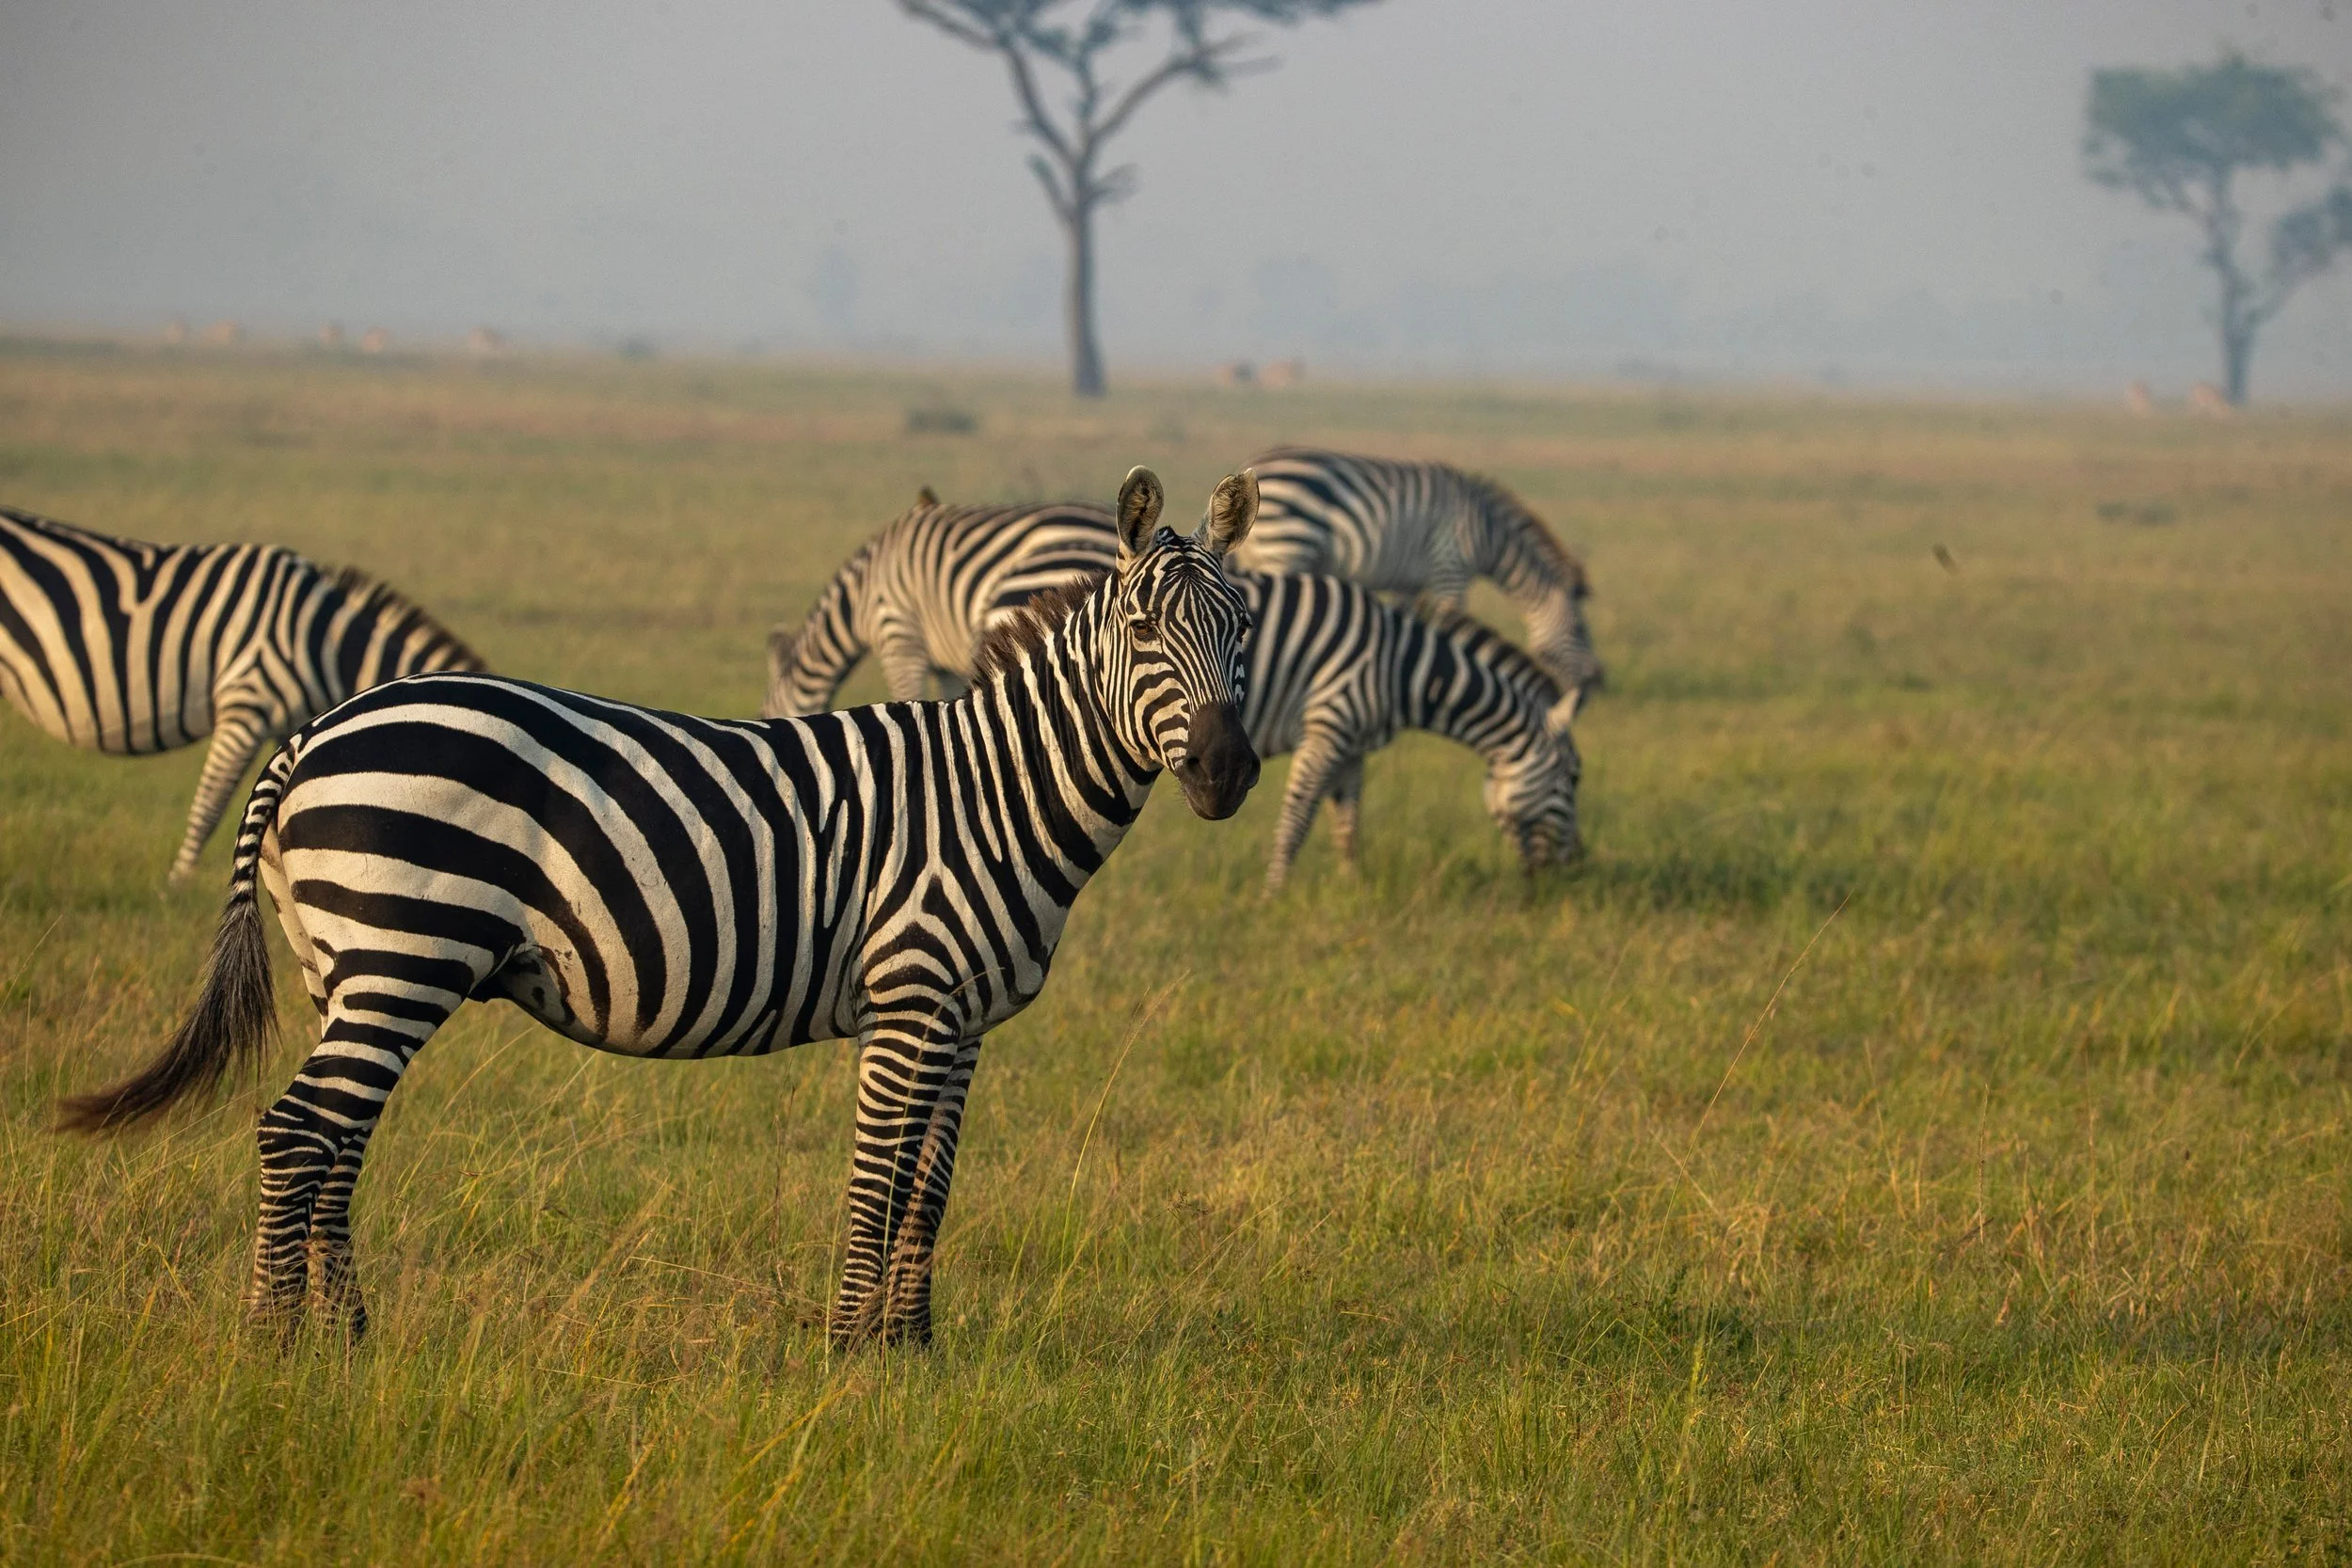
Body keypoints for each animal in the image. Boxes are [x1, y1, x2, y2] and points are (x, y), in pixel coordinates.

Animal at [59, 468, 1261, 1353]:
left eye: (1243, 628)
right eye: (1144, 628)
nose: (1226, 771)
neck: (993, 792)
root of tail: (314, 733)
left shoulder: (962, 1020)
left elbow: (930, 1184)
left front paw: (915, 1349)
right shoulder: (909, 996)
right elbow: (876, 1178)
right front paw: (850, 1355)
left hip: (344, 965)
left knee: (335, 1135)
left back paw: (347, 1333)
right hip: (403, 954)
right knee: (298, 1128)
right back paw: (274, 1343)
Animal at [764, 494, 1579, 890]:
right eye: (1573, 778)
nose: (1565, 875)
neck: (1399, 661)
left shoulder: (1349, 740)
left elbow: (1346, 814)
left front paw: (1352, 884)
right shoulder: (1330, 721)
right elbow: (1300, 812)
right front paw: (1277, 892)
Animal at [1231, 448, 1605, 728]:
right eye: (1580, 629)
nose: (1593, 688)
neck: (1487, 531)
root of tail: (1253, 464)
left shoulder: (1408, 586)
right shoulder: (1451, 568)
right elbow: (1453, 620)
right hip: (1288, 543)